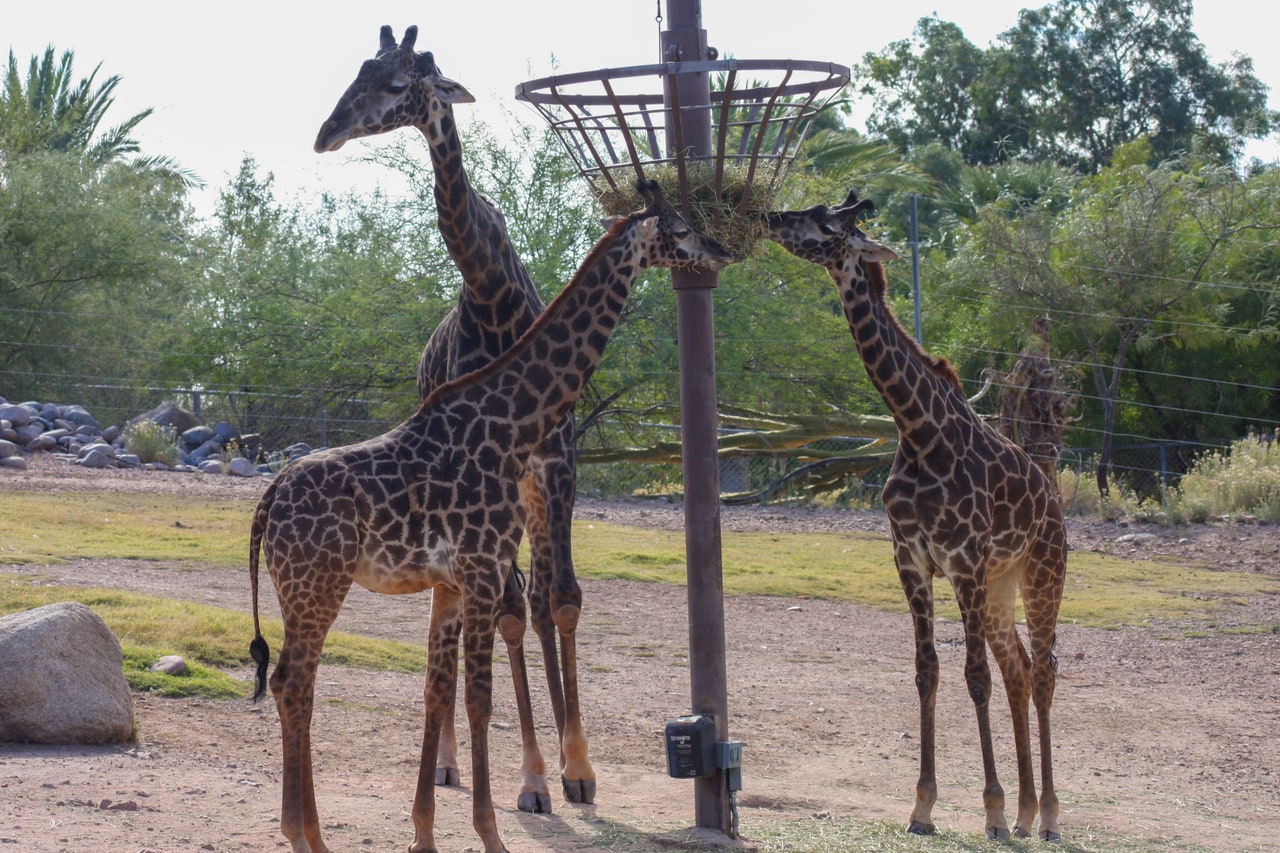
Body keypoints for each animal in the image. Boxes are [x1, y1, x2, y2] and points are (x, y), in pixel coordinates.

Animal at [248, 181, 731, 853]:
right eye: (680, 230)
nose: (719, 251)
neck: (512, 420)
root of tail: (267, 502)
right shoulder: (481, 567)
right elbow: (479, 698)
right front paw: (494, 832)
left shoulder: (455, 582)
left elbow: (439, 690)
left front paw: (425, 833)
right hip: (318, 583)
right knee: (294, 681)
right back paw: (307, 837)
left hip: (302, 587)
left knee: (292, 681)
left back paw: (305, 833)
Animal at [314, 25, 589, 810]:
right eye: (359, 71)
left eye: (401, 83)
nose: (327, 132)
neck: (493, 299)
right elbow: (506, 610)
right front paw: (532, 776)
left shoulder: (556, 461)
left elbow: (561, 599)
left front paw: (578, 769)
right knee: (480, 603)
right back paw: (450, 764)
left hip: (525, 491)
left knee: (536, 593)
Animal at [766, 191, 1066, 841]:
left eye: (826, 222)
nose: (771, 218)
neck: (918, 428)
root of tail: (1054, 501)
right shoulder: (911, 559)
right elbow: (928, 669)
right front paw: (924, 807)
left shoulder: (964, 560)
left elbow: (973, 676)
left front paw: (990, 811)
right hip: (1002, 585)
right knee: (1019, 669)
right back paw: (1028, 812)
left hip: (1041, 572)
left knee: (1044, 670)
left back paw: (1049, 816)